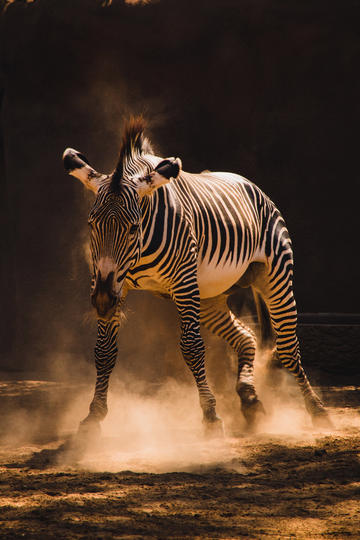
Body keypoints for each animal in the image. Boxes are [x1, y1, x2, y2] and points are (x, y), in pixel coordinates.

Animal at [63, 116, 330, 436]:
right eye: (92, 225)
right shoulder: (113, 283)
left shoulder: (183, 282)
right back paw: (250, 399)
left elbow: (191, 348)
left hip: (274, 276)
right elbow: (104, 352)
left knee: (288, 349)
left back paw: (317, 410)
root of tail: (250, 184)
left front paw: (211, 415)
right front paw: (94, 415)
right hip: (209, 298)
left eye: (133, 227)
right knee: (247, 337)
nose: (102, 302)